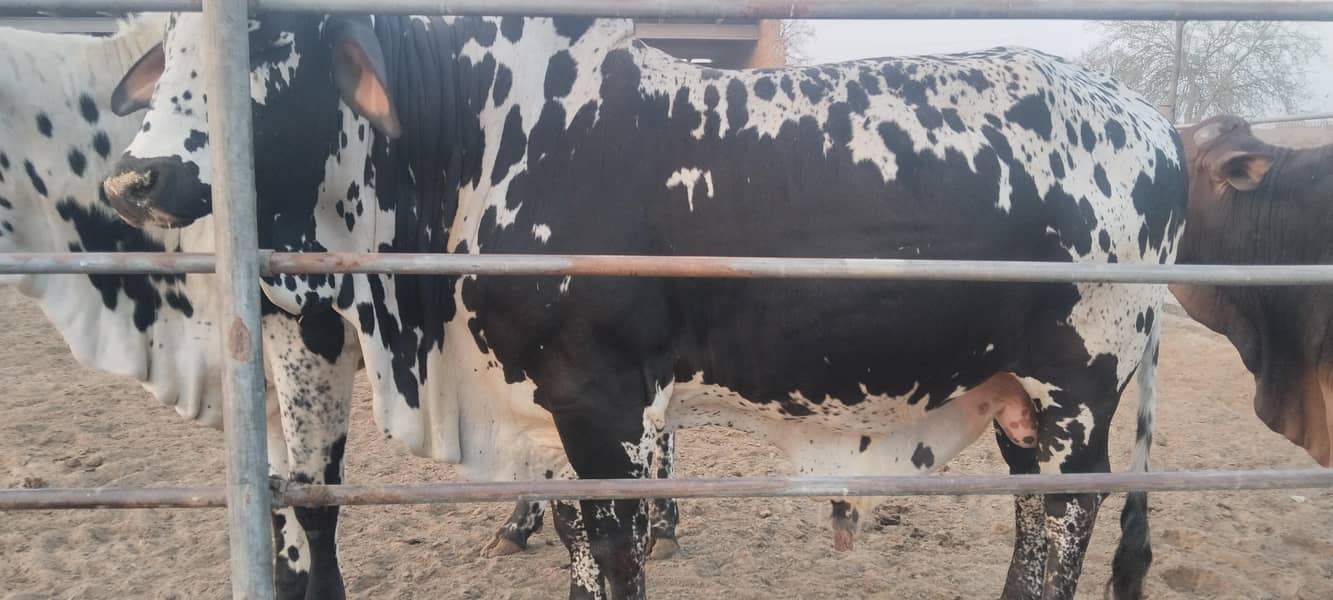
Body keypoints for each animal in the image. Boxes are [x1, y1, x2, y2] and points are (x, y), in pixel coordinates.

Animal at [103, 13, 1185, 600]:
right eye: (170, 44)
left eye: (271, 43)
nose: (134, 176)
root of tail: (1152, 119)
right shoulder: (543, 409)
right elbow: (578, 549)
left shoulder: (603, 401)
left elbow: (617, 555)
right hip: (1023, 398)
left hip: (1073, 387)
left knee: (1058, 527)